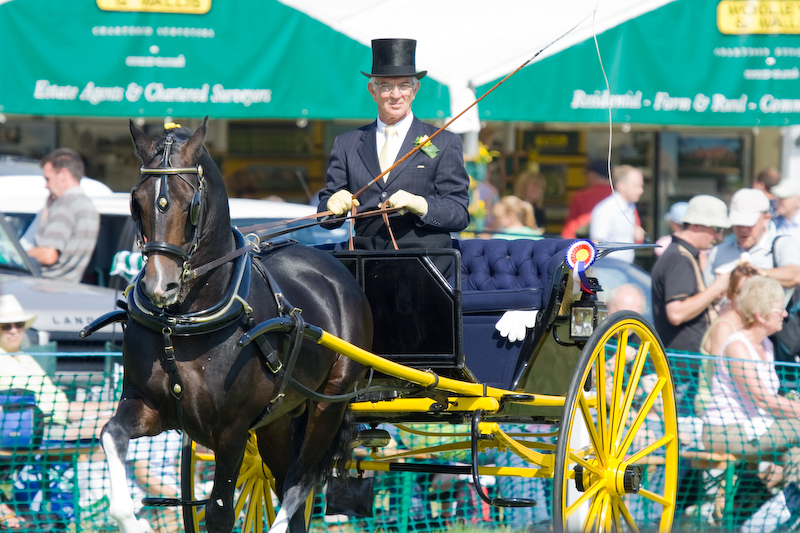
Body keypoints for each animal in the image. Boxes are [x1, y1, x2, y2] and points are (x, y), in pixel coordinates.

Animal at [100, 119, 372, 532]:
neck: (181, 324)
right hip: (278, 419)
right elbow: (111, 434)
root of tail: (336, 270)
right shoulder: (146, 404)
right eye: (137, 201)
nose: (160, 286)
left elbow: (220, 513)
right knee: (285, 483)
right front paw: (132, 520)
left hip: (328, 405)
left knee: (299, 482)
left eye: (191, 204)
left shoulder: (231, 431)